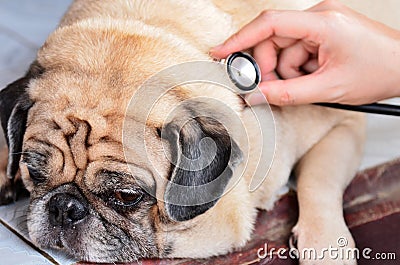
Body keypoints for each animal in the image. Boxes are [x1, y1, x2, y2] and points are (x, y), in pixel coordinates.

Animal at [0, 0, 368, 262]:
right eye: (33, 171)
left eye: (127, 196)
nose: (65, 208)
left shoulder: (346, 123)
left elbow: (318, 183)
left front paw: (326, 247)